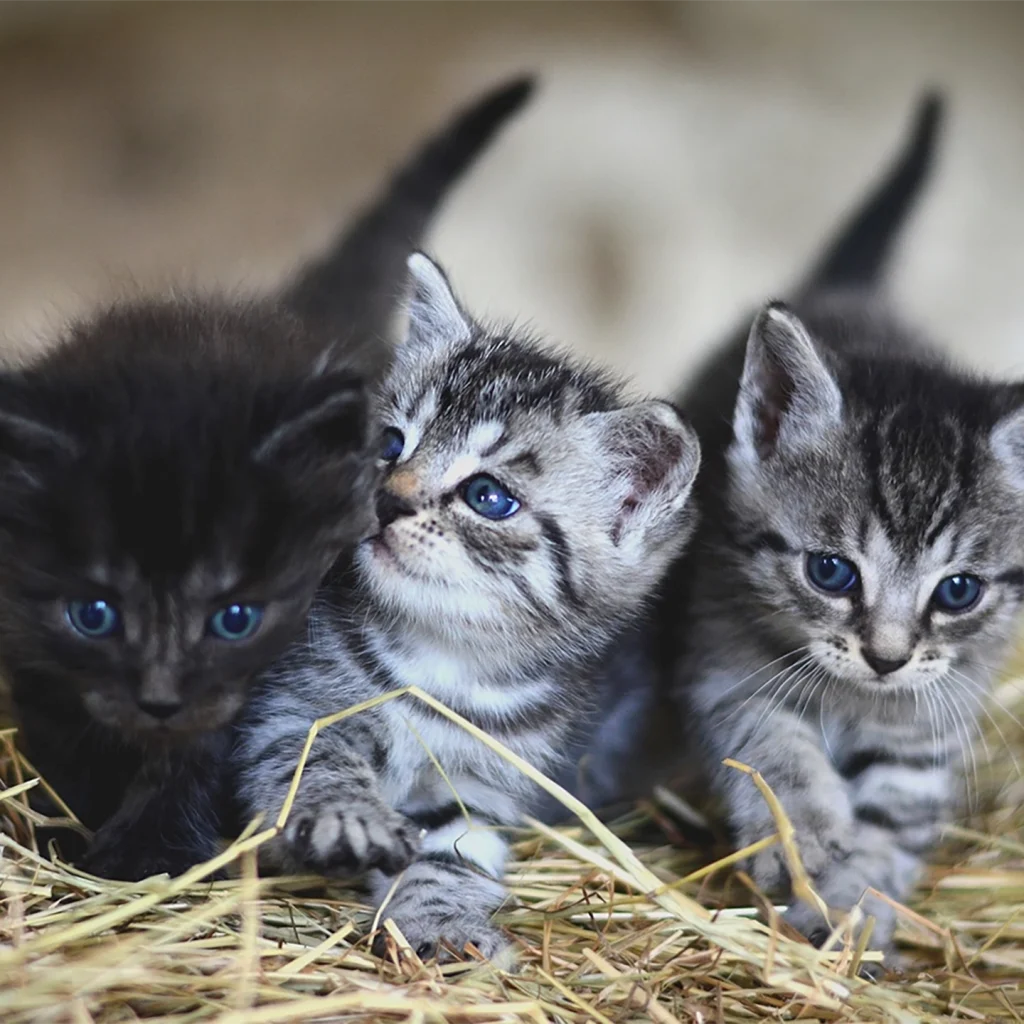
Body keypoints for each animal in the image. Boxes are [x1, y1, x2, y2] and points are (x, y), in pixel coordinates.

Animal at [4, 79, 536, 880]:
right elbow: (61, 727)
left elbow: (199, 753)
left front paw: (149, 852)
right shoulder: (32, 642)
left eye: (236, 619)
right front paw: (69, 825)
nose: (160, 699)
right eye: (93, 614)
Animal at [232, 247, 700, 958]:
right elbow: (312, 759)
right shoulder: (289, 708)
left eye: (487, 496)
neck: (444, 657)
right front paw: (347, 813)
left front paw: (445, 927)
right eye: (390, 444)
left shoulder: (485, 786)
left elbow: (450, 855)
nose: (388, 500)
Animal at [671, 92, 1024, 954]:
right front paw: (807, 843)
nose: (887, 659)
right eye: (831, 572)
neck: (854, 700)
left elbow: (894, 818)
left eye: (958, 591)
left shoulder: (931, 722)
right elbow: (773, 751)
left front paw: (861, 905)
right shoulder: (722, 658)